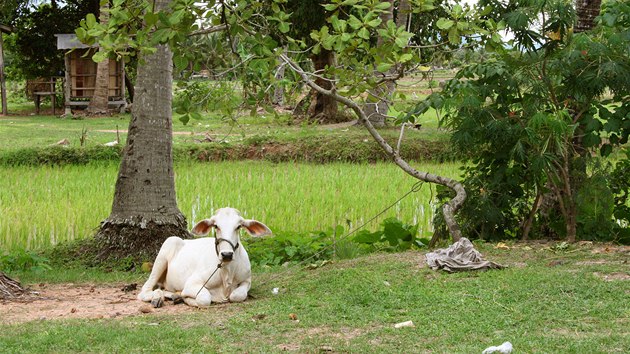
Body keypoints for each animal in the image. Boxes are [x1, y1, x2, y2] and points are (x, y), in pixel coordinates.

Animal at [138, 207, 272, 306]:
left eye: (238, 226)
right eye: (216, 226)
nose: (227, 254)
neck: (226, 273)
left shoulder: (247, 280)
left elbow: (237, 295)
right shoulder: (192, 283)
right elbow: (204, 299)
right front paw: (188, 299)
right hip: (165, 250)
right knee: (145, 291)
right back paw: (157, 298)